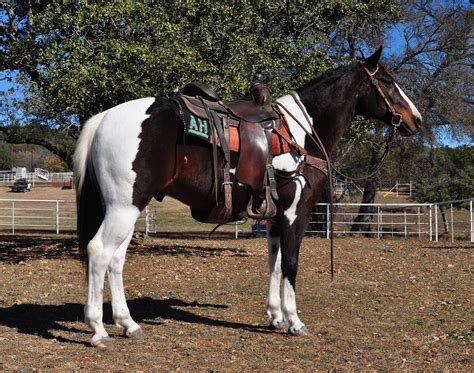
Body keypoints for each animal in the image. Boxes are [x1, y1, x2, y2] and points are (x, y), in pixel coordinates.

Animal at [74, 45, 422, 346]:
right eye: (387, 81)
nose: (416, 119)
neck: (302, 134)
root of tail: (104, 117)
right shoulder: (296, 214)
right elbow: (291, 263)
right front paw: (294, 321)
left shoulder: (274, 218)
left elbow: (275, 263)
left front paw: (275, 316)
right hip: (123, 208)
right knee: (99, 252)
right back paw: (98, 329)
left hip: (128, 209)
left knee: (116, 260)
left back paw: (128, 323)